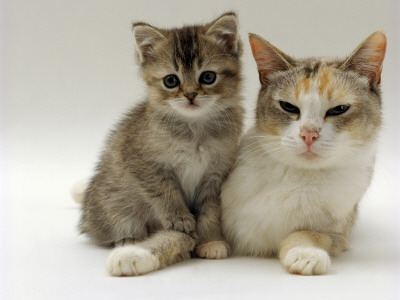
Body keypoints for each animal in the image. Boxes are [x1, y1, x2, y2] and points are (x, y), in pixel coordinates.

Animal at [76, 14, 244, 276]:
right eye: (171, 81)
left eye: (208, 77)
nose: (190, 95)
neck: (195, 129)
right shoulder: (142, 161)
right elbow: (164, 191)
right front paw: (179, 220)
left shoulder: (216, 174)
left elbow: (210, 210)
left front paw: (210, 240)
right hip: (116, 204)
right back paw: (126, 239)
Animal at [222, 31, 388, 276]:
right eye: (288, 107)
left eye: (339, 109)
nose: (308, 135)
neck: (300, 177)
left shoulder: (337, 232)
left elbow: (307, 234)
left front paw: (305, 254)